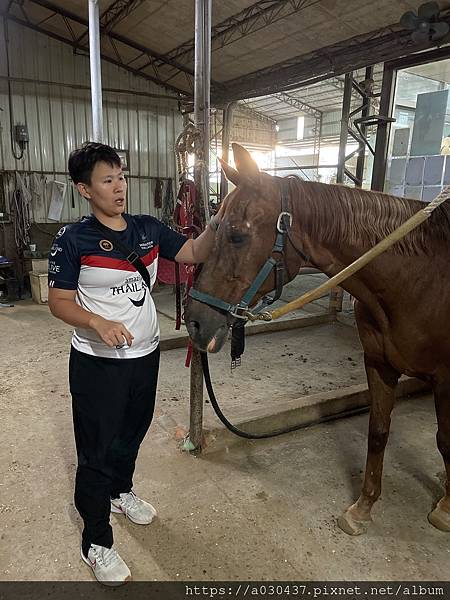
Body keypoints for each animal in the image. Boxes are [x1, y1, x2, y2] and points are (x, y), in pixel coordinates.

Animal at [185, 143, 450, 536]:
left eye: (236, 234)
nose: (194, 322)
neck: (419, 280)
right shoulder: (378, 364)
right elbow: (378, 431)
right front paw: (363, 508)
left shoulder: (446, 379)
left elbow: (445, 440)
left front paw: (445, 508)